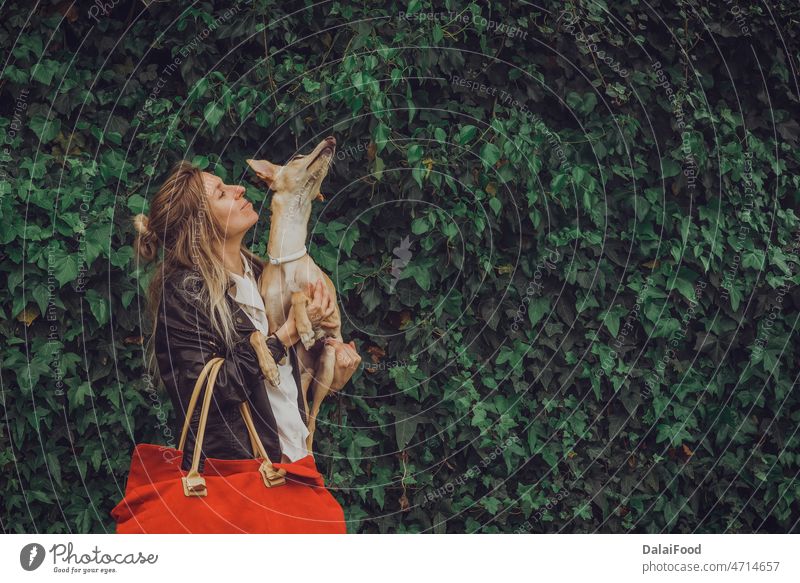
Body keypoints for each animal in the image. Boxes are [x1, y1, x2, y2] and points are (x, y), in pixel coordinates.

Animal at [247, 137, 340, 452]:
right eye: (297, 157)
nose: (331, 139)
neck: (286, 257)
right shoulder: (272, 324)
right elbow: (255, 335)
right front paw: (269, 367)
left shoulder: (331, 316)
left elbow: (300, 296)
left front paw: (306, 329)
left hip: (327, 364)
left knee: (311, 423)